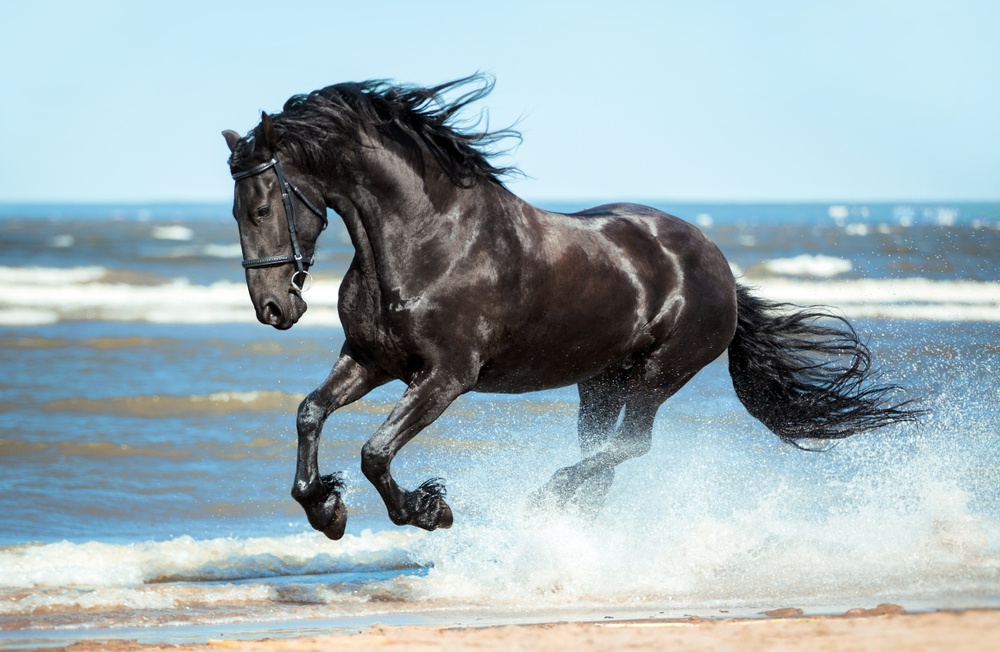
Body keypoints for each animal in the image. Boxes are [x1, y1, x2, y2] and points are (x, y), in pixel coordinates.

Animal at [223, 75, 916, 540]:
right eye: (234, 211)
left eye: (261, 206)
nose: (274, 308)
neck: (427, 240)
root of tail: (717, 264)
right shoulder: (370, 360)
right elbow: (310, 413)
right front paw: (325, 508)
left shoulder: (446, 377)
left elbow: (375, 451)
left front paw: (427, 509)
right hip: (600, 382)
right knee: (604, 454)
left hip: (660, 373)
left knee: (629, 446)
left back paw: (547, 499)